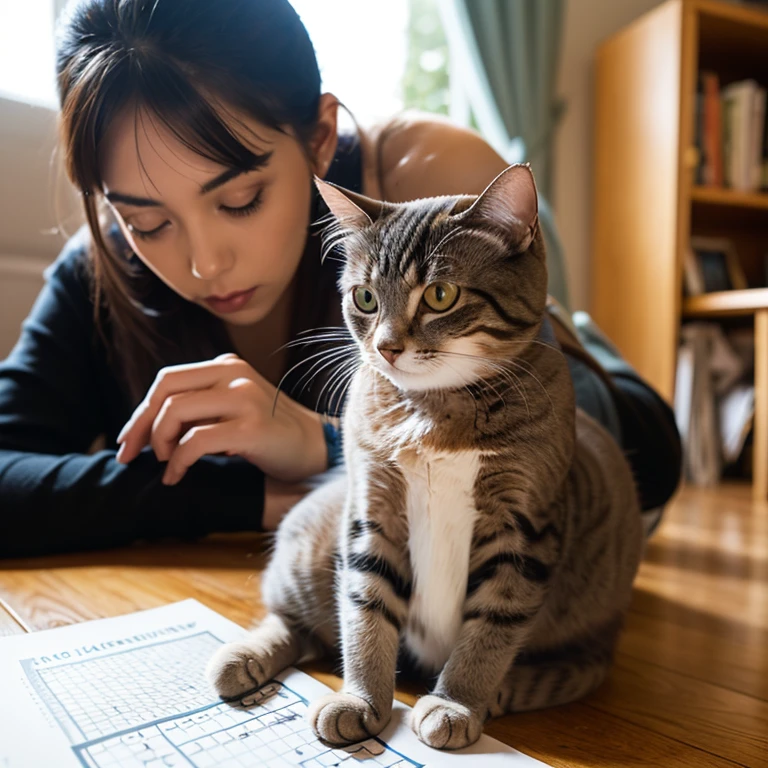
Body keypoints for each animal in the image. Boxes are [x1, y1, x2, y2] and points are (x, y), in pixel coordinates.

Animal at [207, 164, 644, 752]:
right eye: (365, 298)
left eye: (440, 295)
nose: (387, 347)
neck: (437, 408)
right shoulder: (371, 511)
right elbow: (364, 609)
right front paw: (361, 699)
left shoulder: (522, 528)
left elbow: (492, 626)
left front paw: (458, 700)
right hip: (311, 549)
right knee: (294, 623)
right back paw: (245, 656)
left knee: (582, 667)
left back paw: (510, 689)